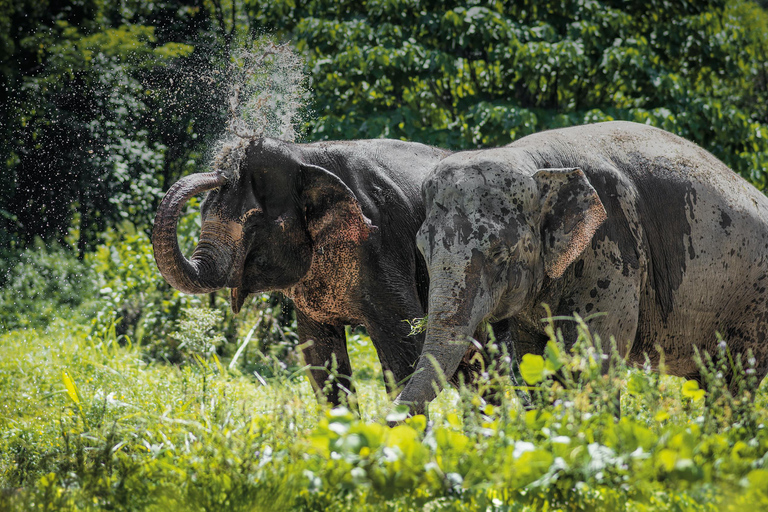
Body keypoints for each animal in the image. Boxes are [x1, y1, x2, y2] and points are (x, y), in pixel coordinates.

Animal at [152, 137, 492, 408]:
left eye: (254, 222)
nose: (222, 170)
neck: (304, 155)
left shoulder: (383, 245)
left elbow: (405, 349)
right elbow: (320, 360)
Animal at [396, 121, 768, 416]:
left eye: (500, 253)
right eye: (422, 249)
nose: (391, 418)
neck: (533, 162)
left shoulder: (612, 252)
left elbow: (592, 361)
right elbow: (533, 360)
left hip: (752, 305)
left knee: (737, 381)